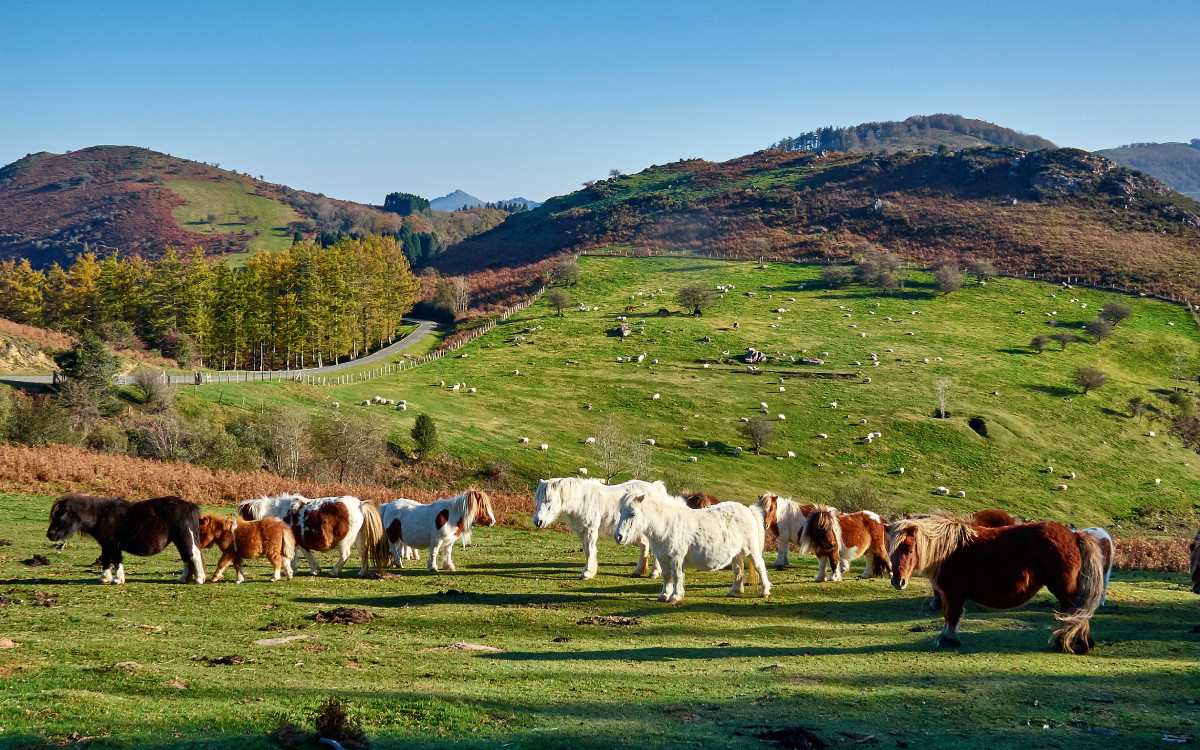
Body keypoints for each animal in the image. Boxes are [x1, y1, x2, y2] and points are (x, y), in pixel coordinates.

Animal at [46, 492, 206, 585]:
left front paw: (117, 579)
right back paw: (183, 578)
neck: (100, 516)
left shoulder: (113, 544)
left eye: (60, 514)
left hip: (185, 537)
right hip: (179, 539)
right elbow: (106, 559)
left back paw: (199, 579)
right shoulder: (106, 545)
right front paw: (104, 578)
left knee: (194, 555)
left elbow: (116, 560)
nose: (50, 534)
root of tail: (188, 505)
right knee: (186, 557)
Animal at [241, 494, 391, 576]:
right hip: (358, 537)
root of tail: (359, 504)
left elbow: (306, 554)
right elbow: (293, 555)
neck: (277, 512)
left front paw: (314, 569)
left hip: (344, 540)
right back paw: (362, 572)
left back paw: (334, 572)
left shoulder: (301, 541)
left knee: (345, 555)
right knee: (364, 552)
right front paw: (293, 570)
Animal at [532, 472, 676, 578]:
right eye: (538, 499)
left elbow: (590, 551)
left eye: (549, 500)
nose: (538, 521)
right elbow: (587, 551)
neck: (582, 501)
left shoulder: (590, 531)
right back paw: (638, 571)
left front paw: (587, 573)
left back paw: (654, 573)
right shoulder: (582, 532)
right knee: (644, 546)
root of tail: (656, 488)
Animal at [614, 492, 772, 602]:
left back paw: (765, 592)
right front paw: (664, 595)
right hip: (735, 553)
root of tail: (748, 510)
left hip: (750, 550)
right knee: (738, 568)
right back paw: (734, 591)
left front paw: (675, 596)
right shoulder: (663, 557)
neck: (667, 523)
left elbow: (677, 576)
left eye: (633, 514)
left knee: (760, 566)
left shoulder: (676, 558)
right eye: (621, 512)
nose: (618, 537)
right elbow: (666, 576)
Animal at [892, 518, 1104, 652]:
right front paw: (945, 638)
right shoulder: (947, 595)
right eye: (891, 550)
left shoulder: (952, 594)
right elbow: (947, 616)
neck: (947, 551)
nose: (898, 581)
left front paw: (948, 640)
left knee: (1073, 612)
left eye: (909, 550)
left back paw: (1068, 643)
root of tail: (1074, 536)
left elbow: (951, 616)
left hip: (1063, 589)